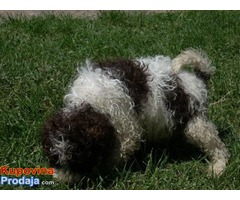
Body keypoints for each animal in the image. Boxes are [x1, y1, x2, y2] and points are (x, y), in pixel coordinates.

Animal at [42, 48, 230, 183]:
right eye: (54, 160)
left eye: (77, 160)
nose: (63, 183)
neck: (90, 103)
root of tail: (198, 79)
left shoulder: (126, 127)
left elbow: (119, 152)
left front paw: (106, 171)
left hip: (196, 123)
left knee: (217, 146)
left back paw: (218, 168)